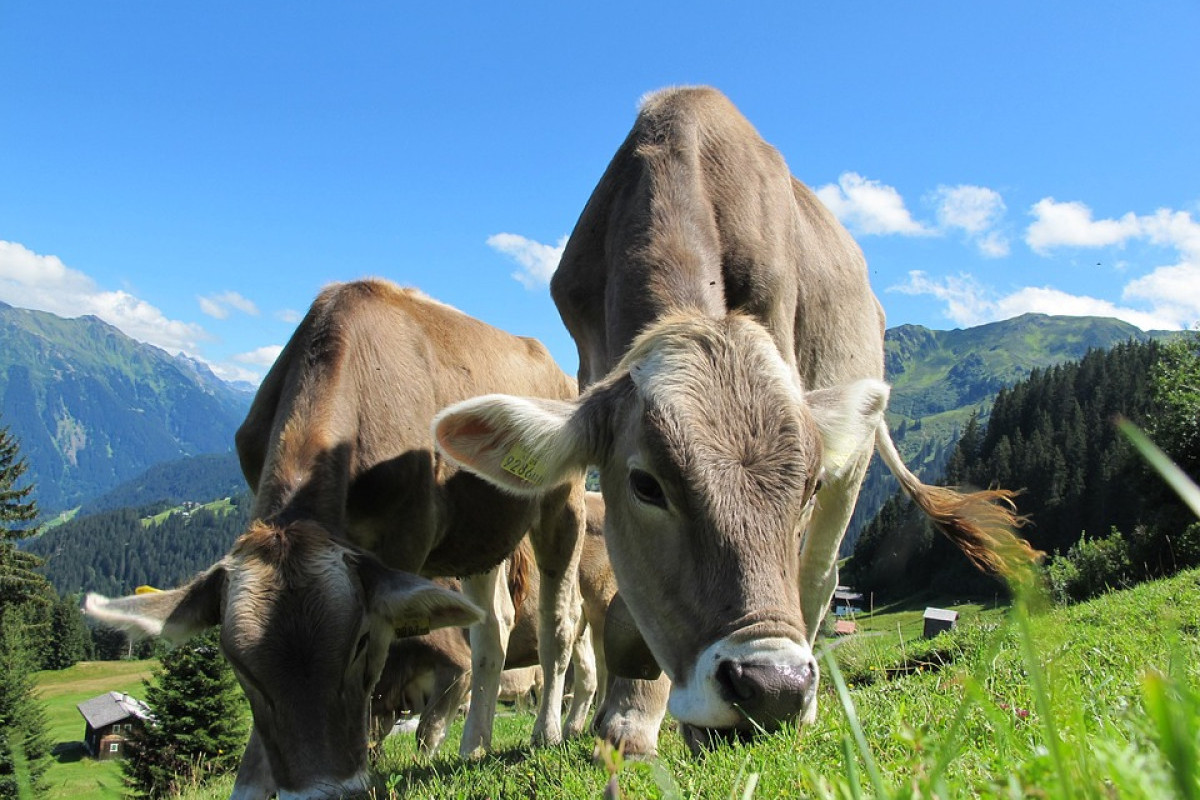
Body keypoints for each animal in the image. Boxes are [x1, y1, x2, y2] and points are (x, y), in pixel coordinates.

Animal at [81, 278, 585, 796]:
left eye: (359, 643)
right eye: (238, 665)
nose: (325, 789)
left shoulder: (403, 543)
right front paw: (253, 783)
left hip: (563, 501)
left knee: (559, 621)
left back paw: (548, 732)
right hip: (479, 537)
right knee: (493, 627)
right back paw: (474, 745)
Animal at [436, 89, 1036, 758]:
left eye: (806, 485)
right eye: (646, 485)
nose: (773, 687)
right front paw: (629, 717)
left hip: (852, 467)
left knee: (819, 575)